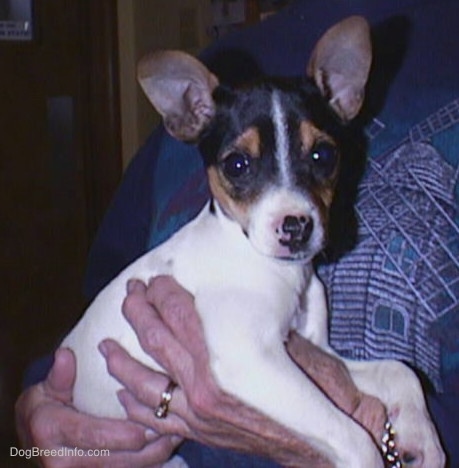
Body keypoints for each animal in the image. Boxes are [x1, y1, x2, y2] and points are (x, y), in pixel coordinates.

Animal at [61, 16, 446, 466]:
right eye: (237, 165)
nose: (296, 226)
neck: (269, 267)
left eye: (323, 155)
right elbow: (351, 434)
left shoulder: (320, 352)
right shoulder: (252, 359)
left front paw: (421, 435)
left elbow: (399, 371)